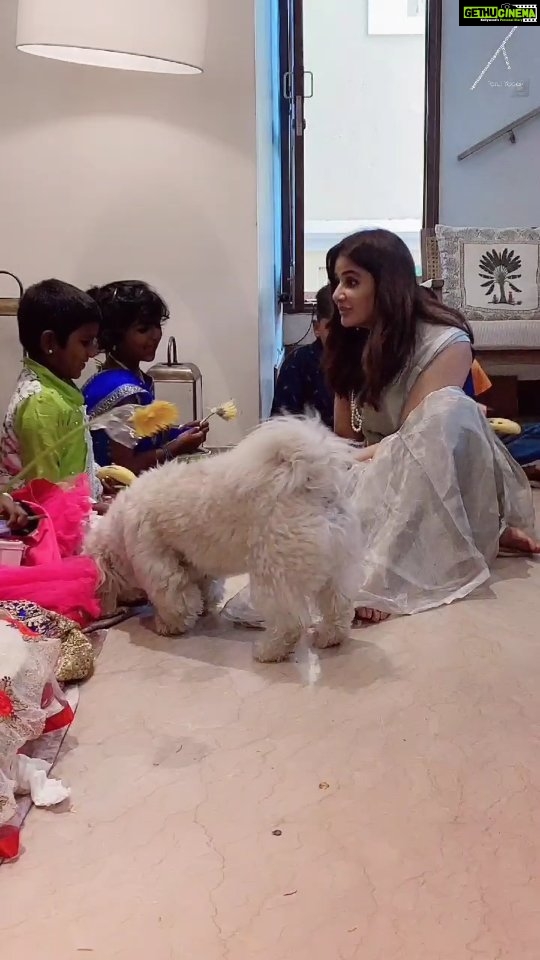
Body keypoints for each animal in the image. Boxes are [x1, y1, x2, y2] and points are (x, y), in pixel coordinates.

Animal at [85, 416, 362, 664]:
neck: (120, 529)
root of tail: (313, 479)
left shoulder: (158, 565)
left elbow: (175, 600)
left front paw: (168, 625)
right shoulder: (196, 563)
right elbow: (204, 589)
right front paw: (204, 607)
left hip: (275, 573)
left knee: (289, 623)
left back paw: (268, 651)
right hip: (336, 570)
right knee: (339, 607)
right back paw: (329, 637)